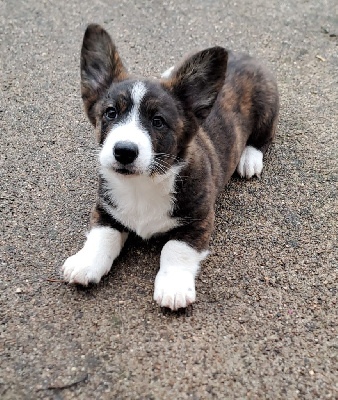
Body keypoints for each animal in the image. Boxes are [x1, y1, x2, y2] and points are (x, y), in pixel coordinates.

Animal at [62, 23, 278, 310]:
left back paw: (249, 158)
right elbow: (101, 235)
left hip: (267, 106)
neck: (142, 184)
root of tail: (243, 54)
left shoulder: (199, 220)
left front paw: (173, 288)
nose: (124, 151)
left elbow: (175, 250)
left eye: (158, 121)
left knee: (264, 136)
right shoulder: (105, 208)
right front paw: (86, 263)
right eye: (110, 113)